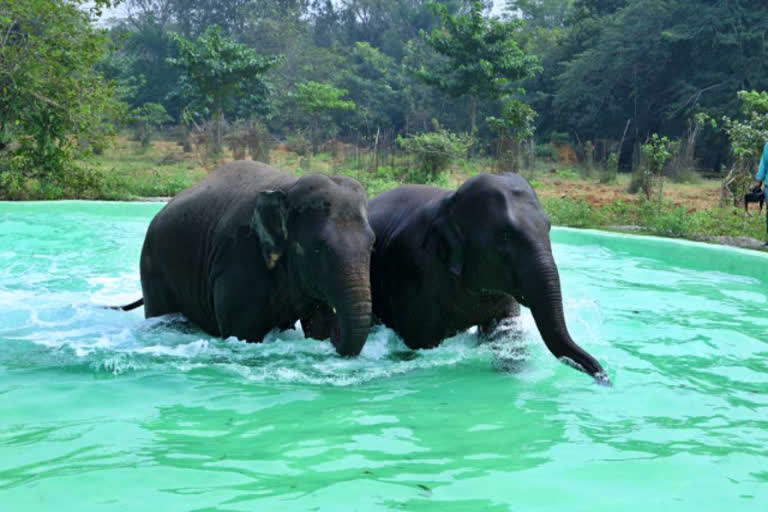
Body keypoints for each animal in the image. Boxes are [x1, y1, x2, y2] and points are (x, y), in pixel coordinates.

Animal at [114, 160, 376, 356]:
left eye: (372, 245)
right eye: (318, 248)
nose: (336, 336)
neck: (288, 186)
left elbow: (318, 323)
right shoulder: (239, 259)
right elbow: (243, 332)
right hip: (154, 270)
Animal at [368, 174, 608, 382]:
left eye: (548, 227)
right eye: (505, 236)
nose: (604, 377)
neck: (449, 202)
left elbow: (506, 330)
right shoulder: (413, 271)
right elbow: (419, 341)